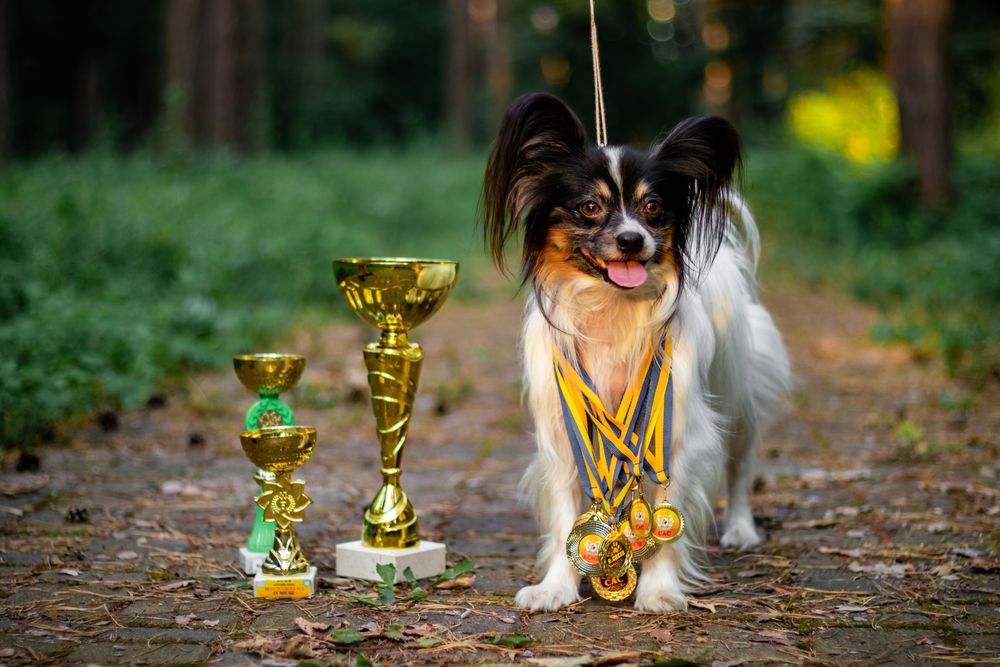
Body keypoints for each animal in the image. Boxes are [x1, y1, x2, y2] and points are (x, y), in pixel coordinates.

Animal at [482, 94, 788, 612]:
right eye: (590, 207)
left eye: (653, 207)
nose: (631, 239)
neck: (611, 307)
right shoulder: (564, 436)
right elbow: (566, 517)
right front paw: (556, 587)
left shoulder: (674, 433)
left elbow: (666, 516)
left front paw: (660, 591)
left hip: (738, 391)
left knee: (742, 462)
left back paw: (741, 528)